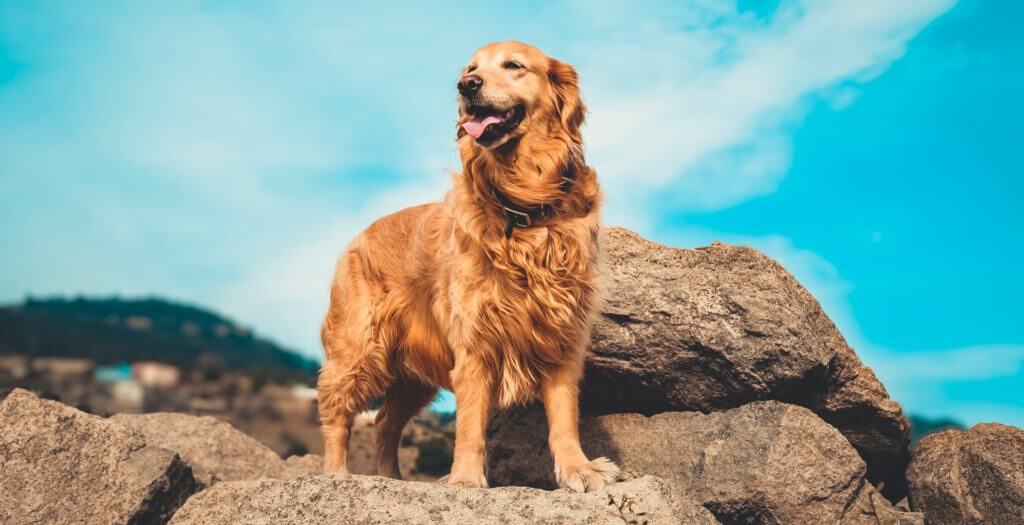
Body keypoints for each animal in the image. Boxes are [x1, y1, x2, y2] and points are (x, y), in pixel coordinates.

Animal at [315, 40, 614, 491]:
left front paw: (578, 468)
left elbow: (564, 417)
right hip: (359, 346)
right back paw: (336, 475)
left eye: (513, 65)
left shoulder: (561, 335)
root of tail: (357, 237)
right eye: (471, 68)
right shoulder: (474, 341)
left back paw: (394, 479)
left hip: (410, 375)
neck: (522, 207)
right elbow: (471, 425)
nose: (466, 86)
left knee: (385, 421)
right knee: (337, 413)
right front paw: (466, 480)